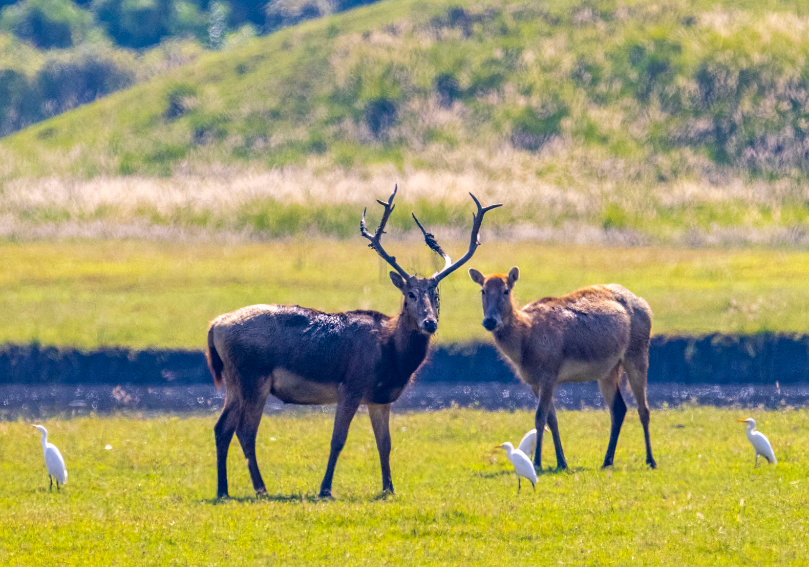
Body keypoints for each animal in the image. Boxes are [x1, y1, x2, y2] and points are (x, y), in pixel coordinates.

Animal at [205, 187, 502, 496]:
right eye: (410, 294)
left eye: (435, 295)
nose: (430, 322)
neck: (392, 356)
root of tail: (215, 326)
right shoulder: (351, 385)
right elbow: (338, 439)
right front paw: (325, 488)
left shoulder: (381, 398)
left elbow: (385, 444)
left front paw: (389, 488)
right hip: (253, 376)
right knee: (245, 431)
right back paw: (260, 489)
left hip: (234, 381)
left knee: (221, 427)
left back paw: (223, 490)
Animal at [468, 268, 656, 472]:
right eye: (483, 290)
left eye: (506, 290)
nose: (490, 321)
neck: (524, 343)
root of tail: (646, 306)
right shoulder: (534, 381)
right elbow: (552, 419)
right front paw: (561, 462)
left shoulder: (549, 373)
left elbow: (540, 418)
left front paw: (538, 462)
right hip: (608, 369)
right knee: (619, 408)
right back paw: (607, 461)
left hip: (637, 352)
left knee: (643, 408)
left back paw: (650, 460)